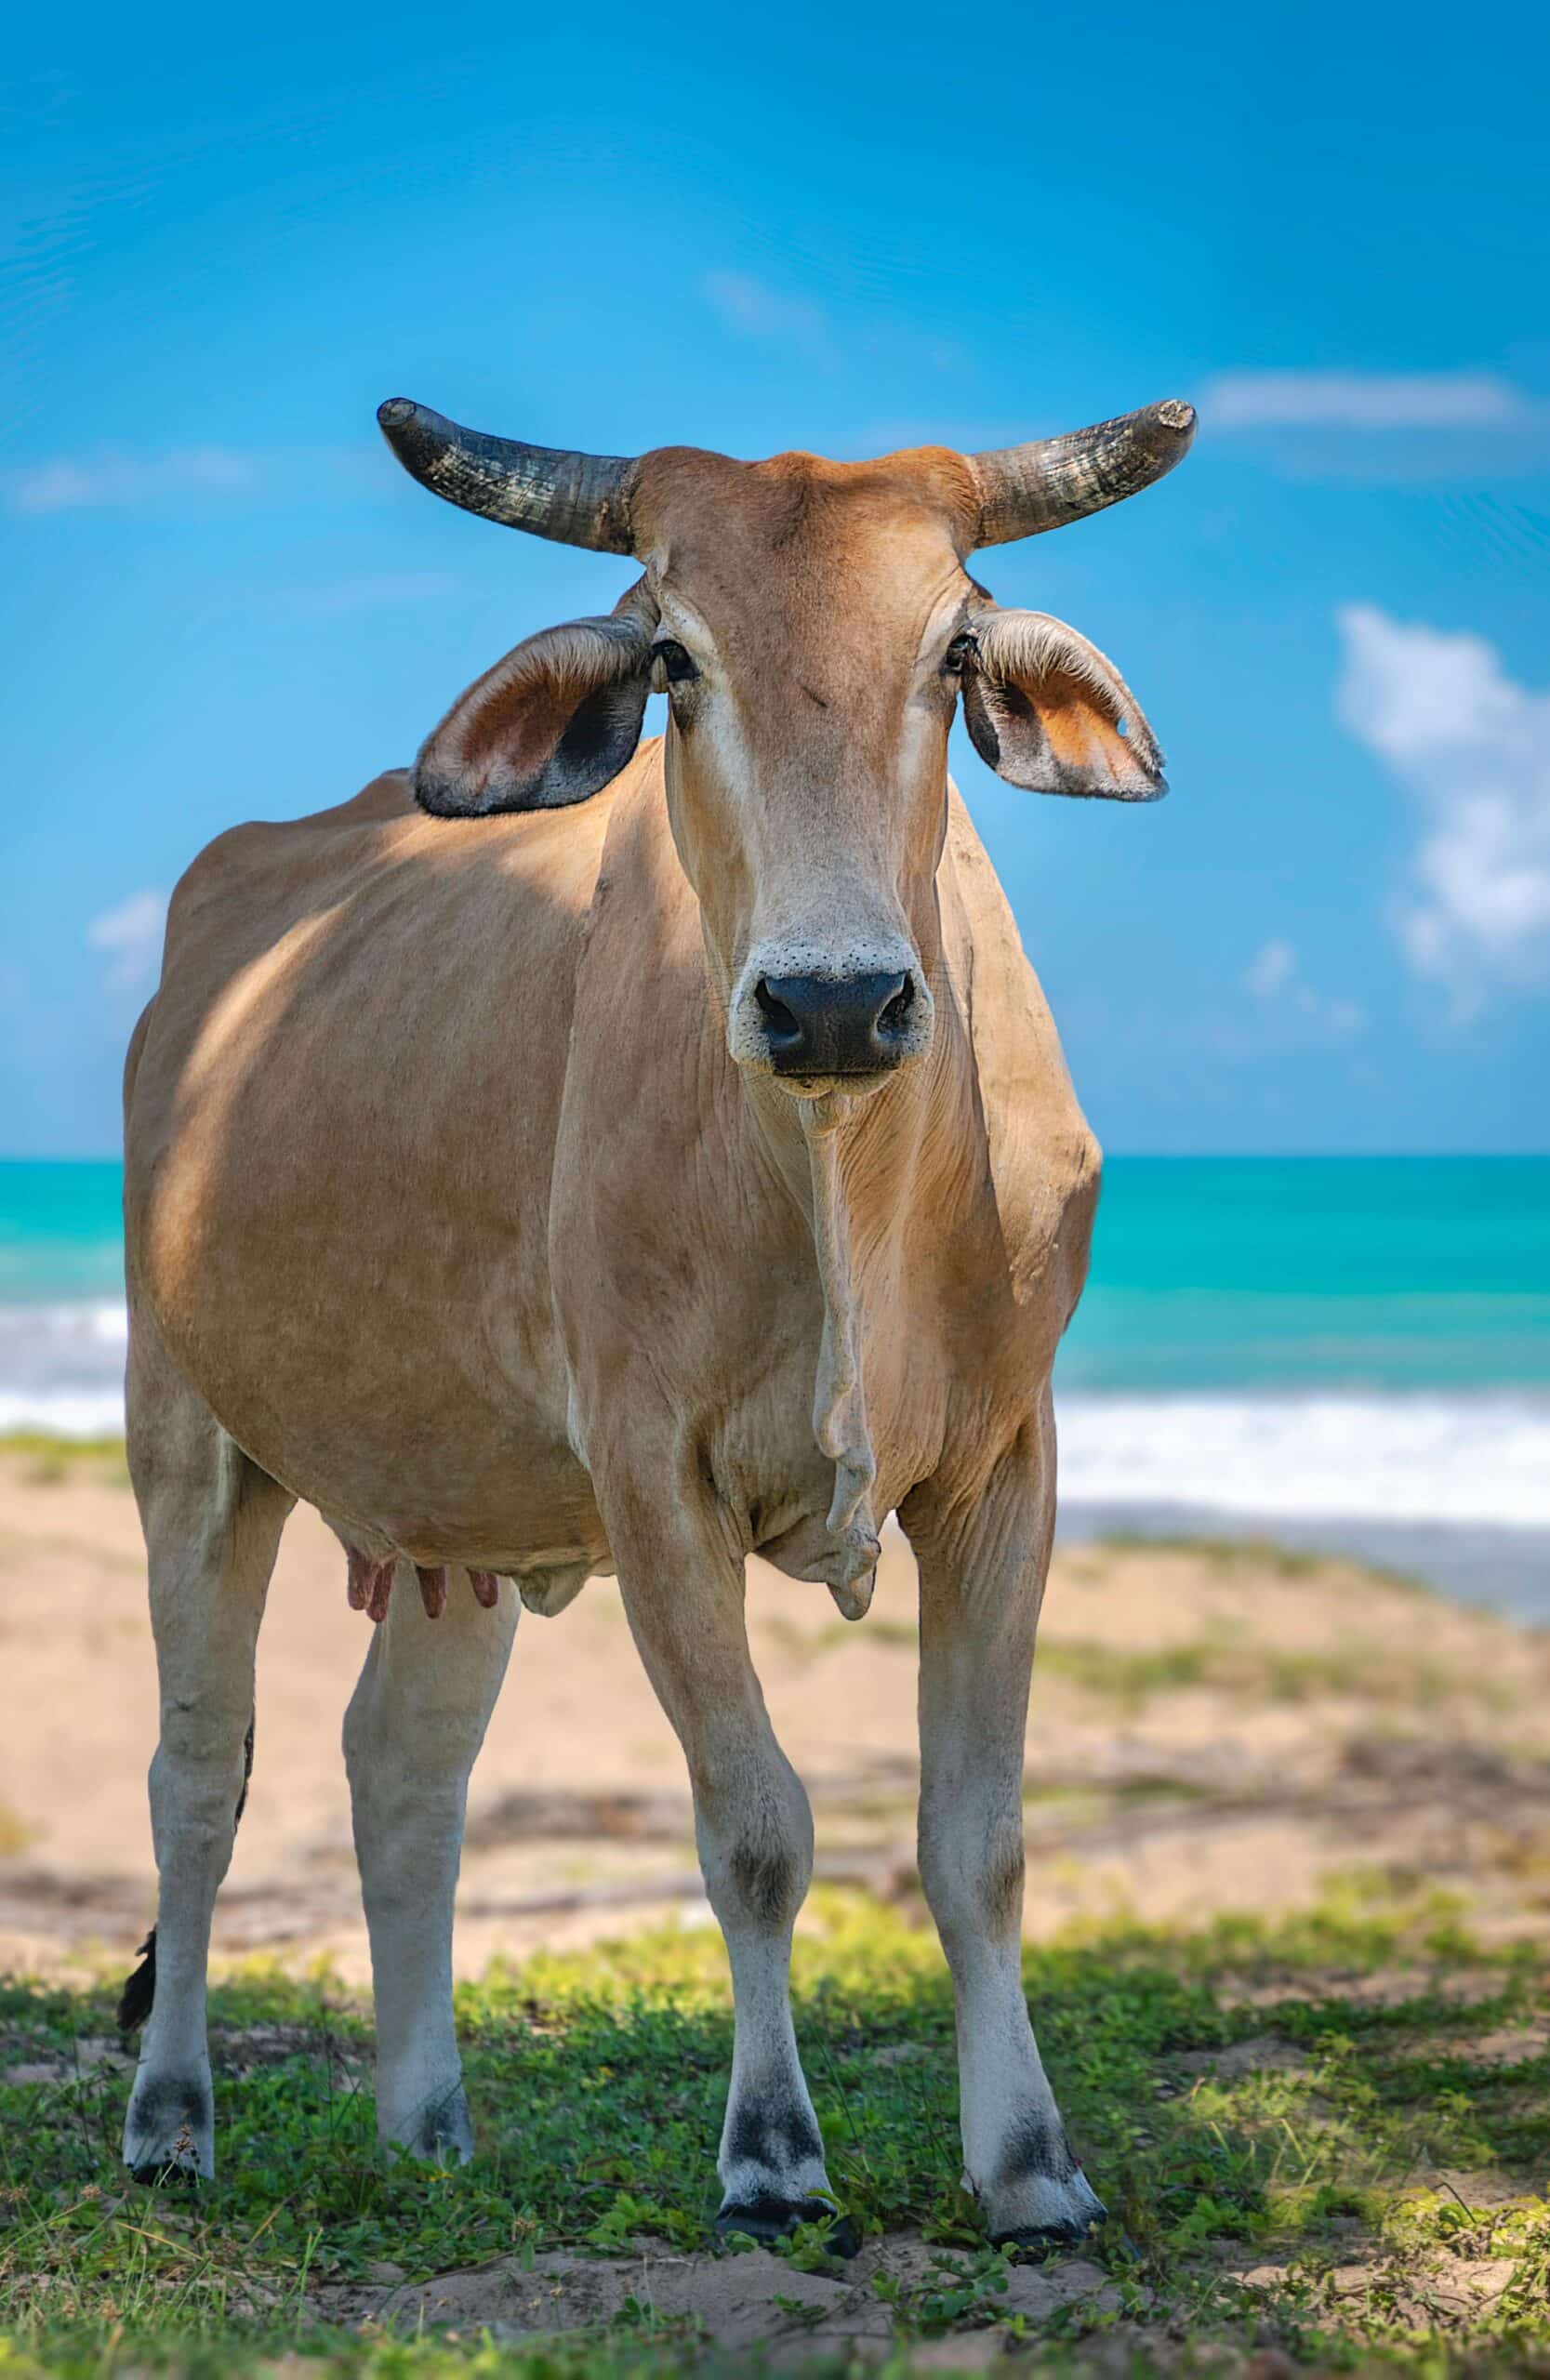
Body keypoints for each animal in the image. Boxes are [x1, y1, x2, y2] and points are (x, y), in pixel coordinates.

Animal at [118, 391, 1194, 2255]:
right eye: (674, 658)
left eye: (953, 647)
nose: (833, 1000)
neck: (846, 1181)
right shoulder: (651, 1480)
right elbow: (752, 1825)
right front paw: (768, 2151)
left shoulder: (1005, 1468)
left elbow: (976, 1840)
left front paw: (1028, 2164)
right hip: (188, 1436)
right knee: (201, 1775)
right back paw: (172, 2122)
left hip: (459, 1516)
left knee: (402, 1771)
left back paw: (426, 2126)